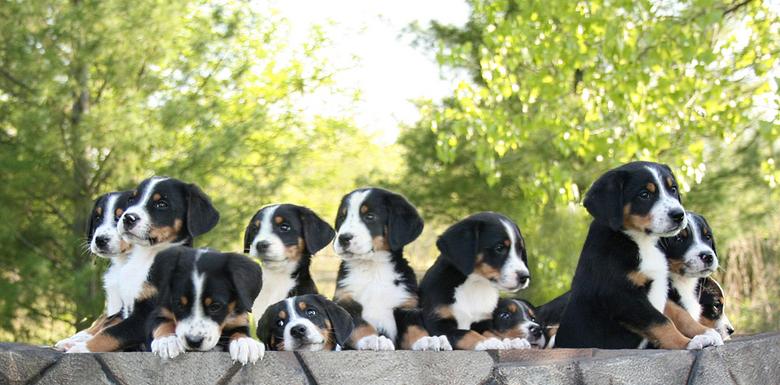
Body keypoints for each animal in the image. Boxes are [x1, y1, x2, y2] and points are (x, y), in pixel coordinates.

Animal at [54, 190, 132, 350]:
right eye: (97, 217)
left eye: (120, 217)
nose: (100, 240)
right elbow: (102, 322)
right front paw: (74, 339)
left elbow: (109, 326)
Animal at [68, 176, 219, 352]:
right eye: (132, 200)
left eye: (161, 204)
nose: (128, 218)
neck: (144, 258)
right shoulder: (126, 306)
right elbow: (106, 322)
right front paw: (75, 340)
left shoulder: (144, 315)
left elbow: (110, 333)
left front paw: (80, 348)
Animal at [332, 188, 448, 350]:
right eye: (342, 217)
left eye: (370, 216)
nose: (343, 238)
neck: (374, 270)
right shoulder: (345, 303)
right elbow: (360, 325)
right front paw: (373, 339)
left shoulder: (406, 307)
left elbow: (415, 328)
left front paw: (427, 340)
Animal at [418, 212, 532, 350]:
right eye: (499, 248)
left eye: (520, 249)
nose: (525, 277)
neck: (475, 284)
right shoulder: (438, 324)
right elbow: (467, 333)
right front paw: (488, 342)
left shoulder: (483, 321)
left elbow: (491, 332)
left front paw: (510, 341)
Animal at [556, 160, 724, 350]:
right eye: (644, 195)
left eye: (673, 189)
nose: (679, 215)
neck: (641, 241)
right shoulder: (623, 294)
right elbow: (661, 322)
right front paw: (687, 342)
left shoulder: (660, 289)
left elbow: (680, 314)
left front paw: (706, 332)